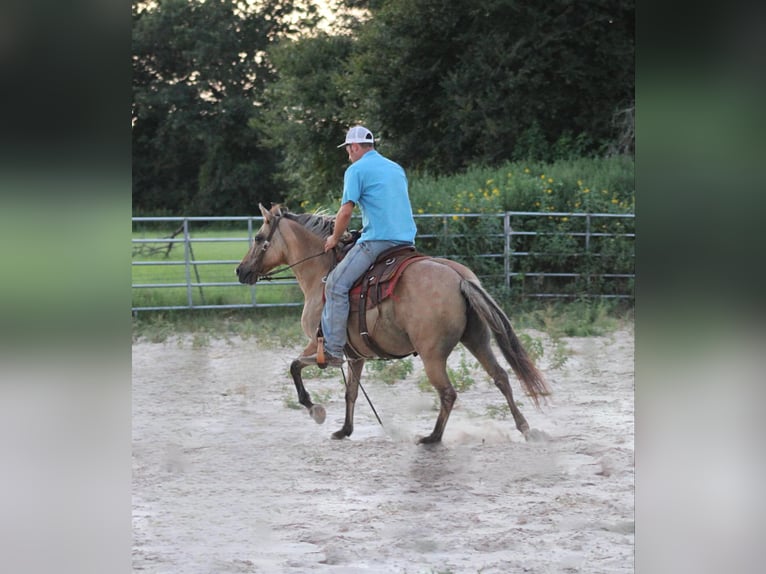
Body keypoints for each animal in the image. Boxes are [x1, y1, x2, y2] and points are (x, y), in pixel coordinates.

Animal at [236, 204, 550, 444]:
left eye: (259, 237)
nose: (240, 271)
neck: (322, 274)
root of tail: (459, 277)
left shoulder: (319, 344)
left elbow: (295, 366)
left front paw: (316, 410)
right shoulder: (355, 355)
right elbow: (351, 392)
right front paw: (344, 430)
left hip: (433, 355)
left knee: (448, 393)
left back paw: (432, 437)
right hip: (477, 339)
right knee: (501, 377)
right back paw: (525, 428)